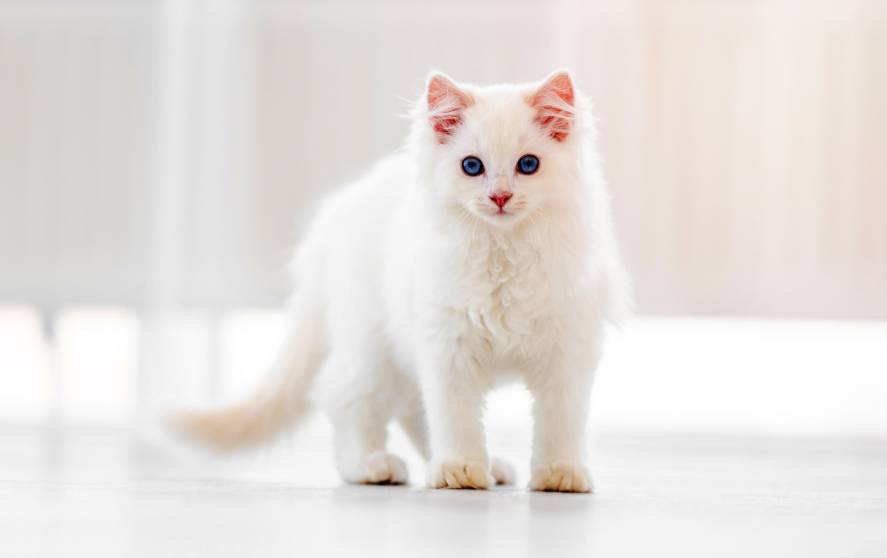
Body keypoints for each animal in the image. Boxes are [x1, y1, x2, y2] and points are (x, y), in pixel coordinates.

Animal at [172, 70, 632, 494]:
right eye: (472, 167)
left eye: (528, 165)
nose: (500, 197)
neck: (503, 253)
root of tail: (336, 214)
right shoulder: (447, 346)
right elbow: (455, 417)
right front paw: (460, 469)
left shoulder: (567, 352)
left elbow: (560, 422)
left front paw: (559, 473)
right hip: (373, 346)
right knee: (346, 396)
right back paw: (372, 465)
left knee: (410, 409)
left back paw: (484, 465)